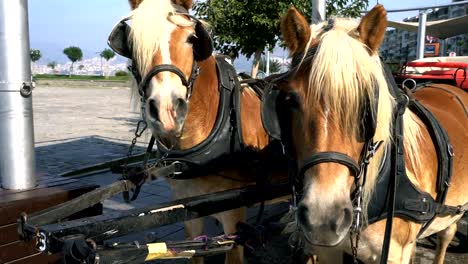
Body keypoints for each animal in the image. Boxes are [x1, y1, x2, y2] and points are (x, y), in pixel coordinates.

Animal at [278, 4, 468, 264]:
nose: (323, 219)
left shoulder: (394, 253)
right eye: (290, 100)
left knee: (447, 235)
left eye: (367, 105)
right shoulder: (329, 251)